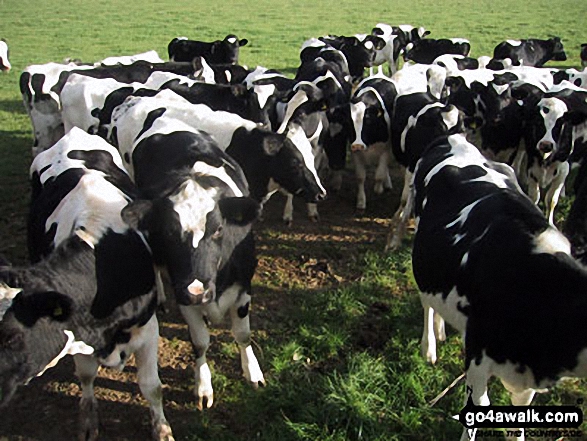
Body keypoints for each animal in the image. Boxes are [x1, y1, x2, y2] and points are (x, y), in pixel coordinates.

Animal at [0, 126, 173, 440]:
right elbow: (86, 375)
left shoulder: (147, 328)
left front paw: (162, 429)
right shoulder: (76, 332)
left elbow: (151, 386)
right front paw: (88, 420)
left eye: (11, 337)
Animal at [110, 109, 266, 410]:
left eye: (218, 229)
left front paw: (252, 372)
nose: (196, 290)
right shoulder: (185, 297)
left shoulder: (244, 286)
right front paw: (203, 386)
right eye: (168, 232)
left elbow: (243, 335)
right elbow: (200, 342)